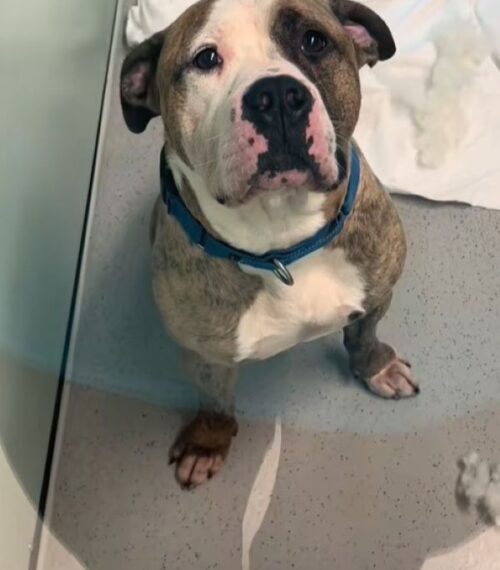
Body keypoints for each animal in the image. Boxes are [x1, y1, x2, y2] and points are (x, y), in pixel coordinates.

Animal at [120, 0, 419, 489]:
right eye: (205, 58)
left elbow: (363, 336)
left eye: (314, 41)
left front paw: (376, 367)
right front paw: (208, 442)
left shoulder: (377, 292)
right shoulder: (206, 355)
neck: (284, 247)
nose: (277, 95)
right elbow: (215, 403)